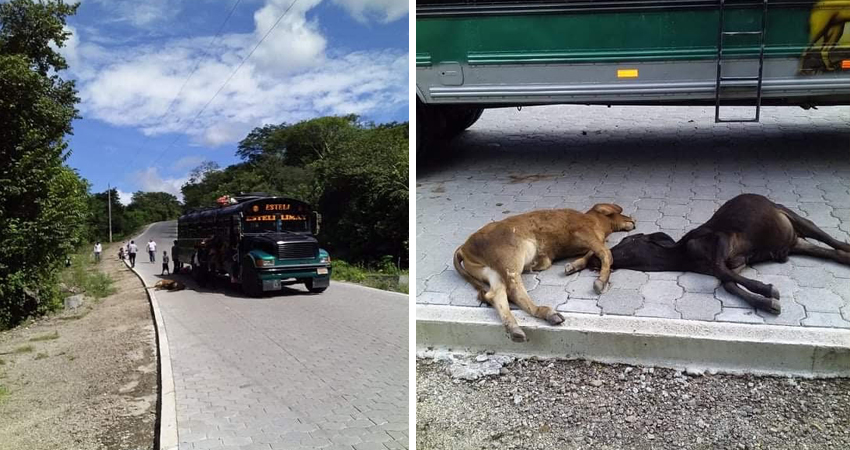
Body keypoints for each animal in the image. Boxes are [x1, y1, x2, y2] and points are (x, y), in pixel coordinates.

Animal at [454, 204, 632, 342]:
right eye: (621, 213)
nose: (633, 219)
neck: (596, 223)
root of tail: (464, 247)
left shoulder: (588, 242)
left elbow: (591, 254)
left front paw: (572, 266)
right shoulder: (585, 233)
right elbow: (606, 253)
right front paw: (600, 282)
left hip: (491, 272)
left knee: (496, 294)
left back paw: (517, 328)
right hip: (510, 257)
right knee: (514, 289)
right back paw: (548, 313)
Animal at [592, 193, 848, 312]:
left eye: (628, 241)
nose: (597, 257)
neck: (682, 256)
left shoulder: (722, 239)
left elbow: (720, 270)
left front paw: (768, 290)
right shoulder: (738, 263)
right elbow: (728, 282)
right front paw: (766, 302)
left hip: (795, 218)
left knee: (831, 240)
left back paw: (846, 249)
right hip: (797, 242)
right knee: (829, 252)